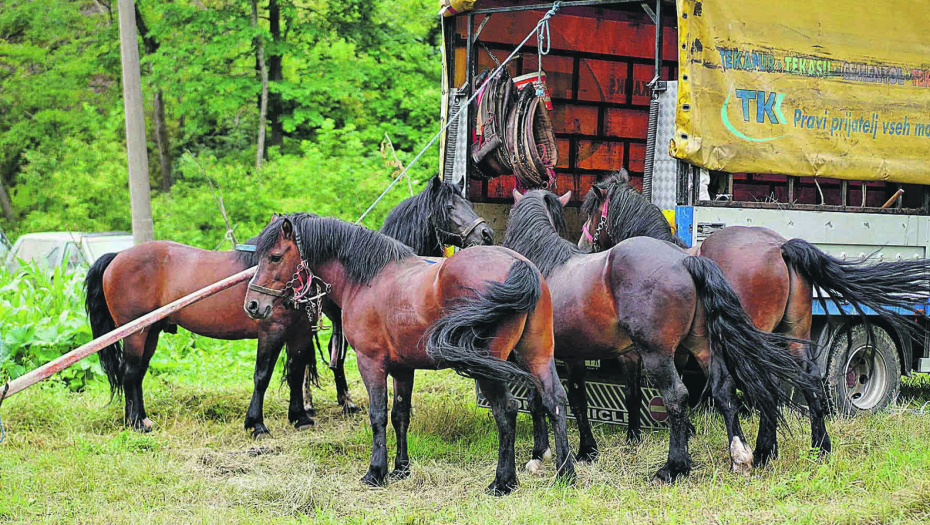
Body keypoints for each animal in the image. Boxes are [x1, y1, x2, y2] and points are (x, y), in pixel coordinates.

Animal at [243, 212, 568, 492]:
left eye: (275, 257)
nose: (253, 305)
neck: (368, 278)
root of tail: (519, 265)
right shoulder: (403, 369)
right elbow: (400, 415)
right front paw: (401, 468)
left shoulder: (370, 364)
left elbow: (377, 416)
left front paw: (376, 472)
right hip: (536, 356)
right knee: (554, 400)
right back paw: (565, 474)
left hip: (488, 367)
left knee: (507, 410)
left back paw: (503, 482)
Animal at [500, 188, 812, 478]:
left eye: (593, 213)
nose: (584, 242)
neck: (547, 263)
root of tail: (685, 261)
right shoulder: (575, 356)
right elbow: (580, 399)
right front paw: (586, 450)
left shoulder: (545, 356)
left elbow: (546, 400)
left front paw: (544, 454)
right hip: (704, 346)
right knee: (726, 388)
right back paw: (743, 455)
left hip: (659, 355)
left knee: (678, 395)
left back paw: (675, 467)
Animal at [576, 170, 928, 464]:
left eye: (592, 213)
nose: (581, 245)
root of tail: (780, 248)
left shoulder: (641, 352)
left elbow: (635, 391)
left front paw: (635, 438)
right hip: (793, 335)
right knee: (809, 379)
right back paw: (818, 447)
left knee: (766, 386)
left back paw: (762, 451)